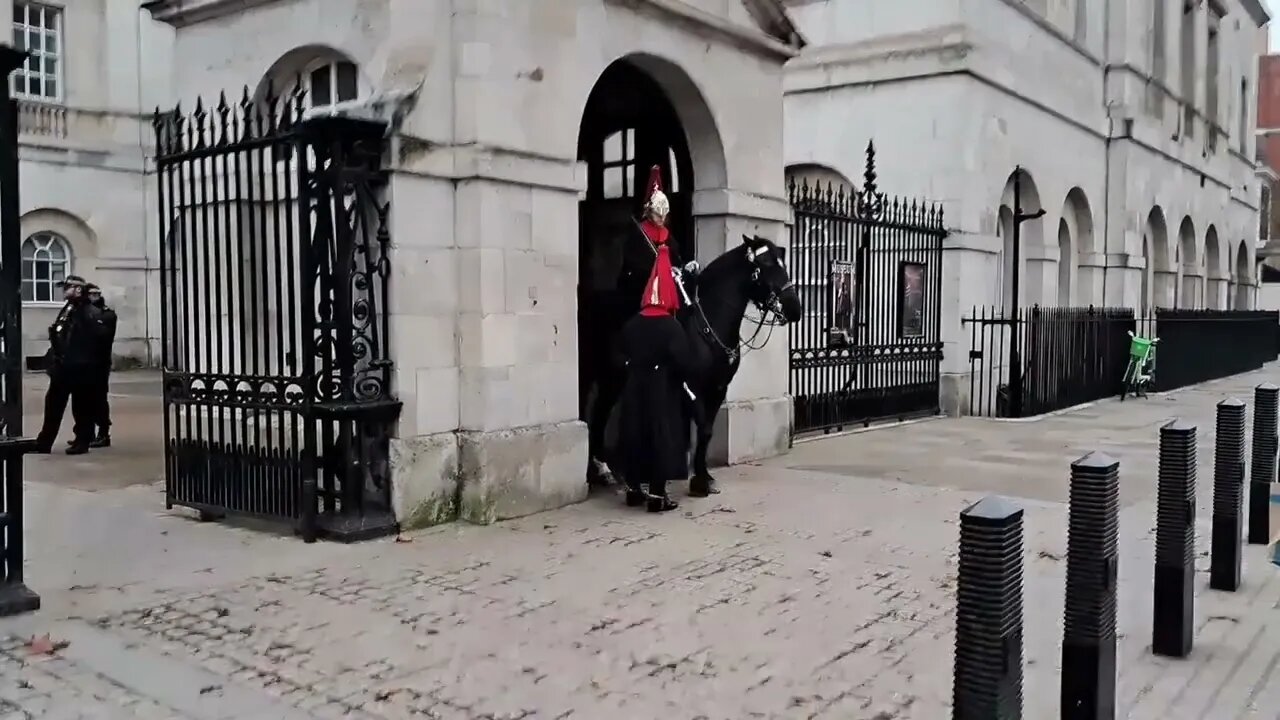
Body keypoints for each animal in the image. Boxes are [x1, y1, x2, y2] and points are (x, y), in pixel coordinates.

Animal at [586, 235, 798, 491]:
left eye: (782, 263)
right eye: (765, 265)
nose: (795, 308)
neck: (707, 324)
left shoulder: (718, 387)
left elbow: (707, 431)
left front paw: (703, 475)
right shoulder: (692, 386)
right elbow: (702, 428)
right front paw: (700, 481)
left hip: (612, 378)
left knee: (600, 414)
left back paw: (604, 470)